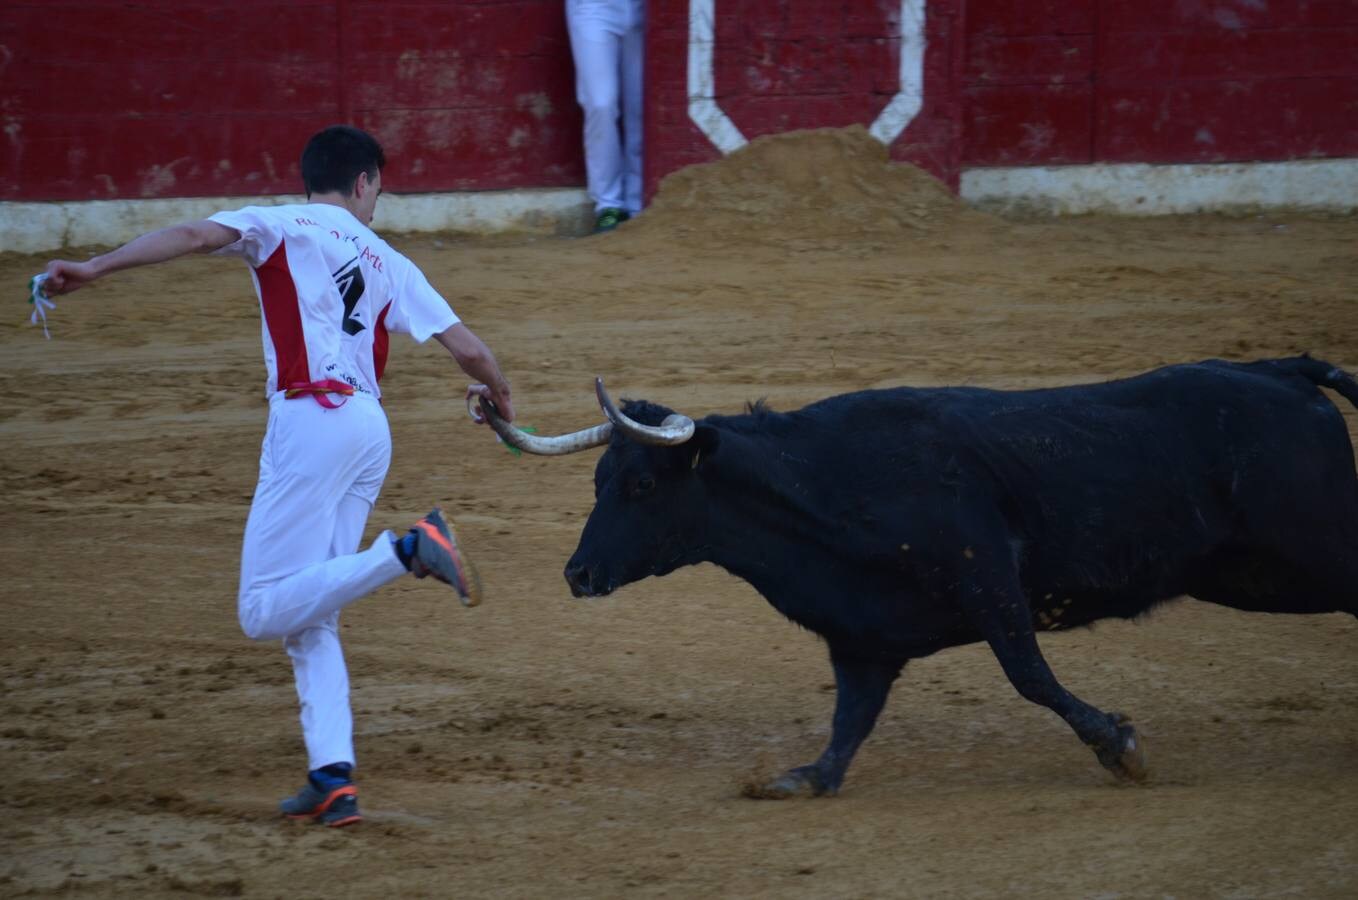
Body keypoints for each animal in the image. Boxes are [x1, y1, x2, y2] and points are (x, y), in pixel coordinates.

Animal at [494, 358, 1358, 798]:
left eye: (641, 485)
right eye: (597, 481)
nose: (577, 573)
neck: (831, 485)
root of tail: (1283, 370)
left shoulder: (992, 586)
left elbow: (1030, 678)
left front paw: (1120, 745)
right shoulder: (861, 638)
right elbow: (848, 723)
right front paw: (798, 777)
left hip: (1311, 549)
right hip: (1257, 576)